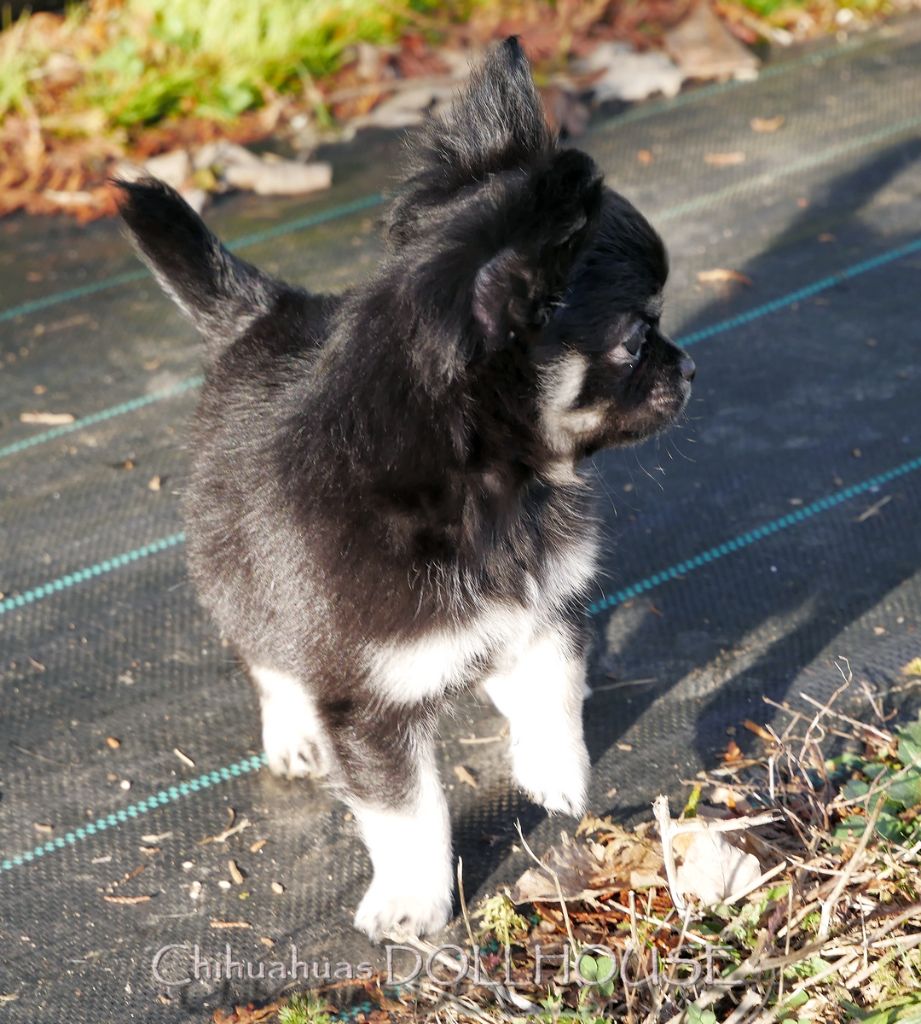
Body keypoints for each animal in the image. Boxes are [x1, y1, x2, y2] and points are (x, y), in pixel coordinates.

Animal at [117, 37, 694, 942]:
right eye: (637, 340)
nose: (691, 368)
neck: (489, 496)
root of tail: (260, 314)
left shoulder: (542, 601)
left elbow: (550, 687)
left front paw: (555, 769)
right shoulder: (365, 701)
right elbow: (407, 809)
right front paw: (411, 902)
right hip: (235, 572)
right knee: (265, 656)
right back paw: (292, 732)